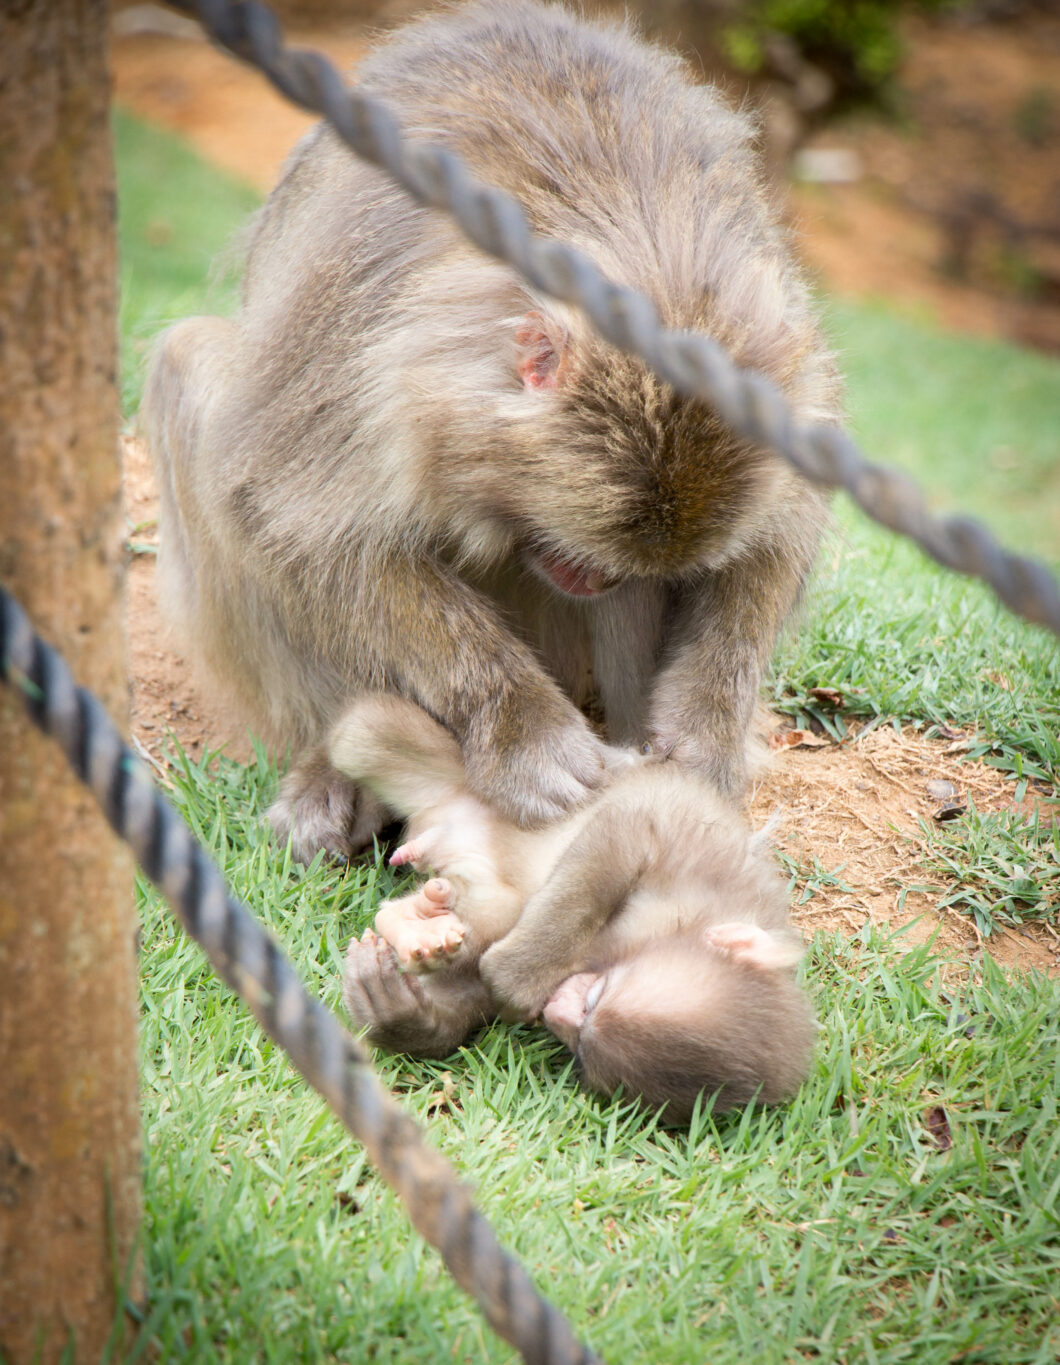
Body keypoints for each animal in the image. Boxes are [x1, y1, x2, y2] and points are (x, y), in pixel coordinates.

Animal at [140, 0, 834, 862]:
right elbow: (287, 516)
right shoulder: (358, 351)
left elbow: (777, 537)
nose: (597, 580)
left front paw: (703, 734)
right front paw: (522, 729)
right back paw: (334, 768)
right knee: (189, 373)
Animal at [335, 693, 813, 1119]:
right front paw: (514, 976)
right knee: (360, 732)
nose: (557, 1012)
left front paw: (400, 1015)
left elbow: (469, 991)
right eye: (593, 1001)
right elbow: (624, 832)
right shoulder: (700, 869)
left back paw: (411, 923)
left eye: (581, 1044)